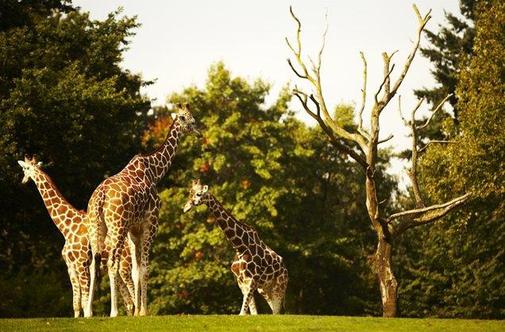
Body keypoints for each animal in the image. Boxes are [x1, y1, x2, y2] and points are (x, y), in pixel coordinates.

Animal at [18, 157, 136, 318]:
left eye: (25, 169)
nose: (23, 181)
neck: (66, 228)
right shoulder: (70, 266)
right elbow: (76, 303)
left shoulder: (82, 264)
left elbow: (85, 301)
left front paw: (88, 316)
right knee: (129, 302)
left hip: (124, 266)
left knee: (133, 292)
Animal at [85, 104, 198, 316]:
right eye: (190, 120)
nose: (199, 132)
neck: (155, 172)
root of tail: (100, 197)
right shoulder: (150, 224)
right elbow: (144, 269)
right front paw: (144, 311)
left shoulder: (133, 230)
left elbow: (136, 271)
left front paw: (137, 311)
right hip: (117, 227)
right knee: (112, 263)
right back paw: (114, 312)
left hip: (96, 227)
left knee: (94, 264)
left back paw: (88, 312)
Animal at [183, 179, 290, 314]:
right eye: (190, 193)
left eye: (199, 194)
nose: (186, 208)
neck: (240, 246)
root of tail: (285, 268)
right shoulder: (242, 282)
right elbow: (252, 312)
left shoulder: (251, 280)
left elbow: (242, 313)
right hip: (265, 289)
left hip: (279, 287)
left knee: (277, 311)